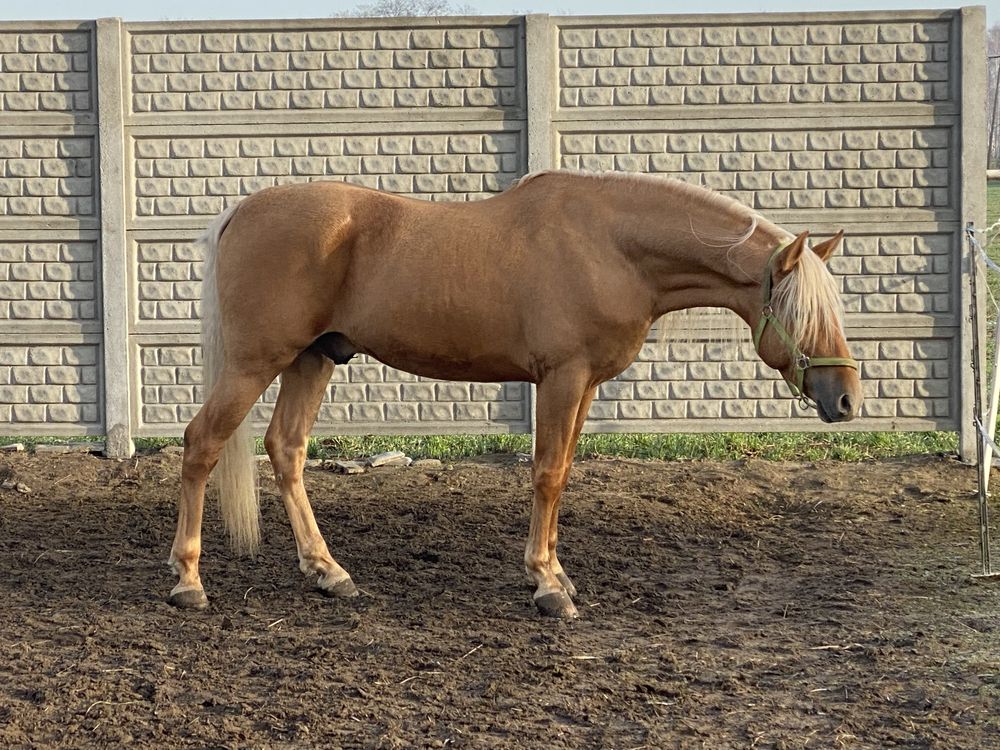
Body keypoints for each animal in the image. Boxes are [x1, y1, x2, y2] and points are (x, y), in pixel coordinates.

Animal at [168, 173, 864, 620]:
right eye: (803, 313)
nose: (848, 401)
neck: (611, 246)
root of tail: (240, 214)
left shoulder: (584, 385)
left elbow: (564, 473)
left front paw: (556, 573)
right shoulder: (562, 377)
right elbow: (548, 475)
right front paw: (548, 587)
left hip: (314, 358)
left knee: (287, 450)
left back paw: (327, 573)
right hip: (257, 362)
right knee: (201, 445)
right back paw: (189, 581)